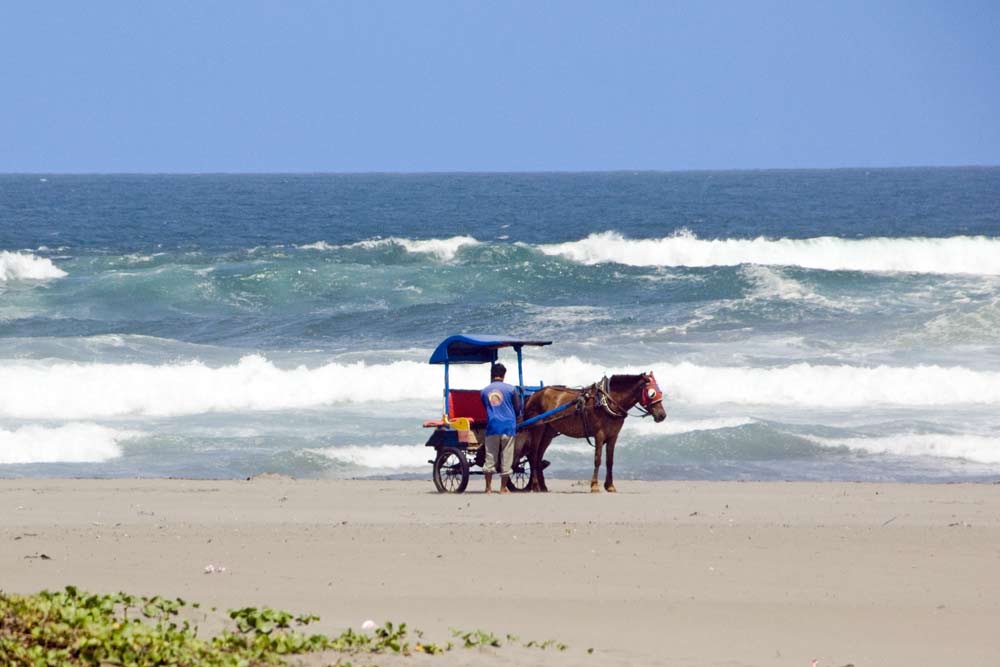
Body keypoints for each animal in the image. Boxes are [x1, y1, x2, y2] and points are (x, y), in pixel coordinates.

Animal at [520, 374, 668, 494]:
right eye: (652, 393)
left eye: (660, 392)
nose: (662, 415)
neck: (607, 402)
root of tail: (533, 395)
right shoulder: (599, 435)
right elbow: (598, 459)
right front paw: (595, 486)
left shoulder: (613, 437)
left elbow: (610, 461)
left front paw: (610, 486)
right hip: (538, 428)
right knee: (533, 455)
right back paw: (535, 485)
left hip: (549, 431)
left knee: (539, 456)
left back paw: (542, 486)